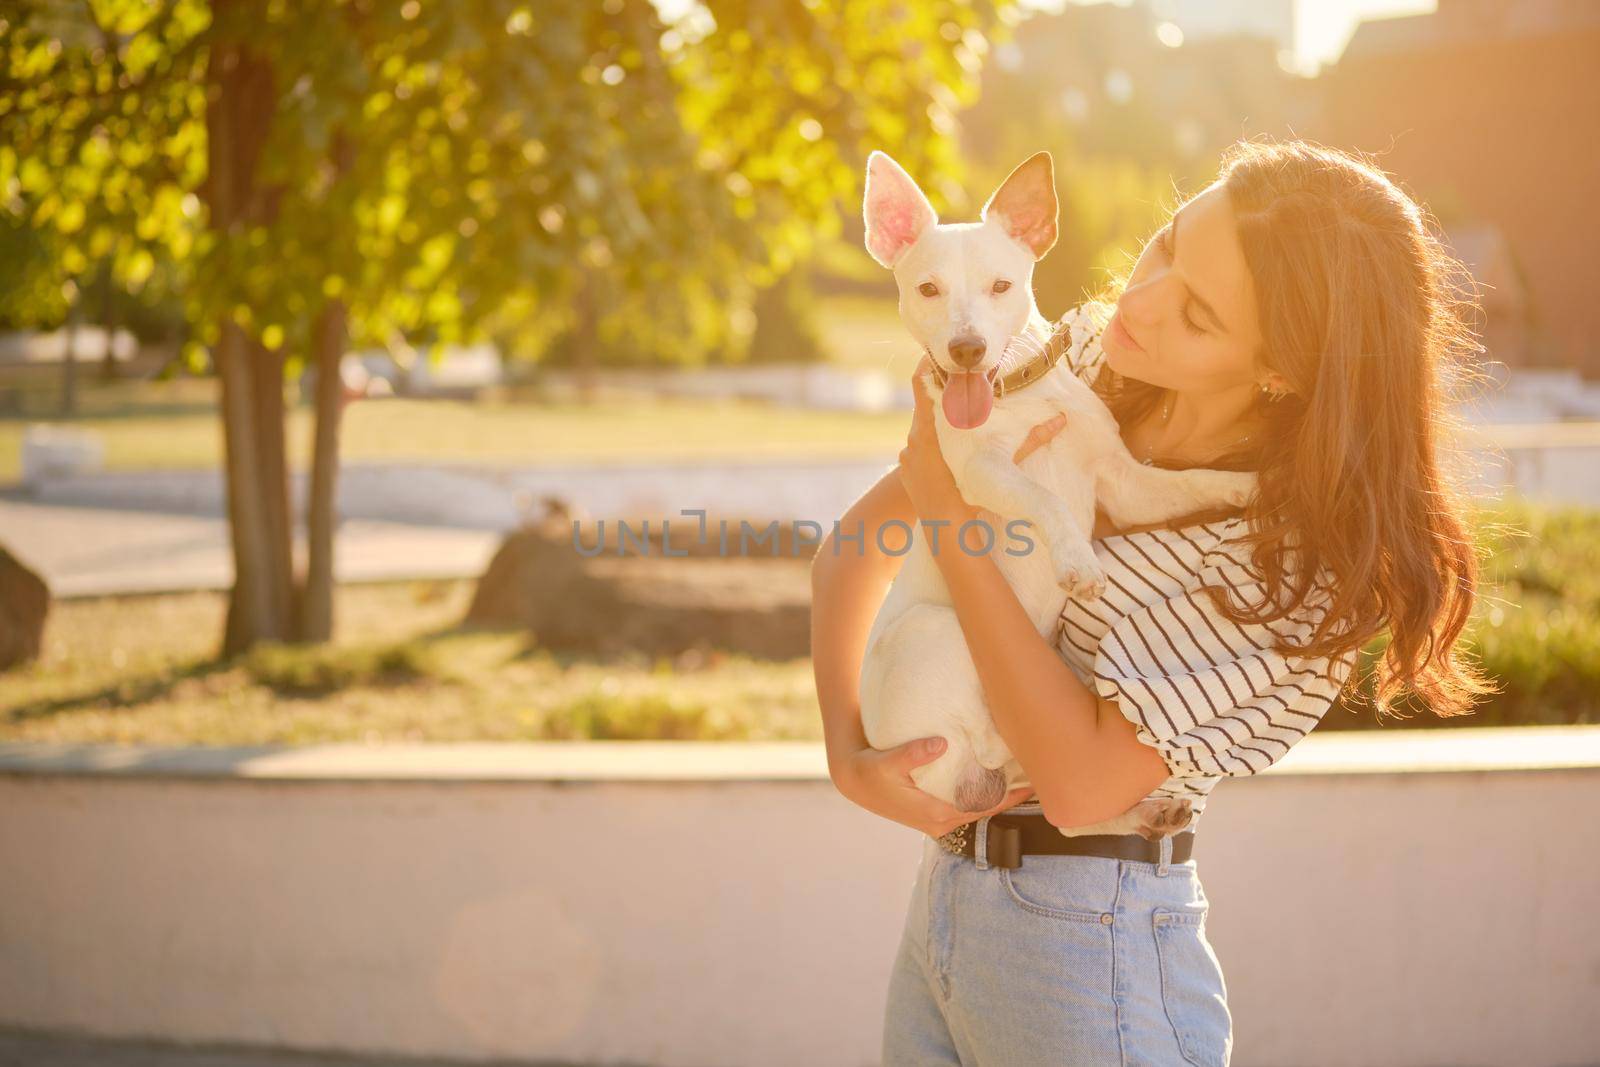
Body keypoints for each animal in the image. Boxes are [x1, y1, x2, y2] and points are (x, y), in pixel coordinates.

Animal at [857, 147, 1254, 831]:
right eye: (928, 289)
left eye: (1001, 286)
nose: (967, 348)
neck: (1017, 396)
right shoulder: (980, 474)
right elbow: (1041, 499)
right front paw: (1076, 562)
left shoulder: (1126, 485)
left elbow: (1194, 480)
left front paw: (1251, 484)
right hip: (937, 631)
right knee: (1007, 751)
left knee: (1056, 802)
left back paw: (1147, 814)